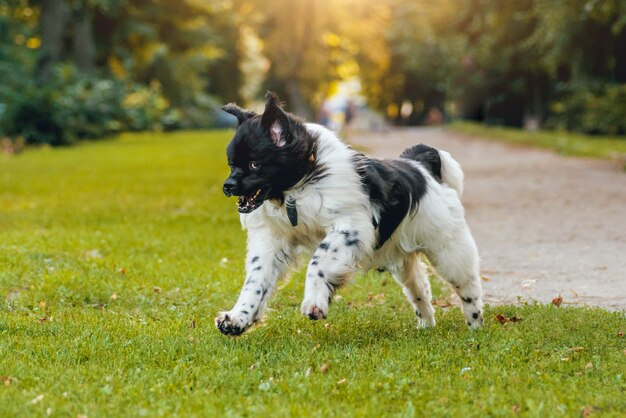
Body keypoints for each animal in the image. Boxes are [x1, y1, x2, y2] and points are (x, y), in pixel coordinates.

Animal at [214, 93, 482, 334]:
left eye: (255, 164)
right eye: (231, 164)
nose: (227, 186)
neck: (301, 184)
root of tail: (420, 166)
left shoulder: (349, 227)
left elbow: (318, 261)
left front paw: (314, 301)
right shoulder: (272, 242)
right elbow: (256, 281)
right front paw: (237, 318)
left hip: (449, 252)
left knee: (469, 287)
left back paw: (475, 326)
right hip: (403, 259)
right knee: (420, 289)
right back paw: (426, 325)